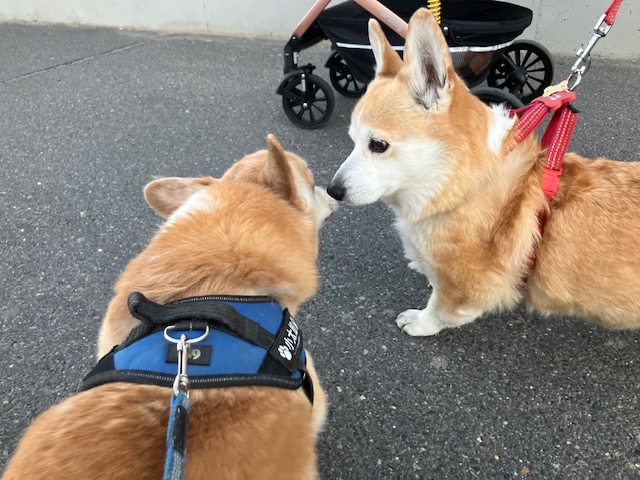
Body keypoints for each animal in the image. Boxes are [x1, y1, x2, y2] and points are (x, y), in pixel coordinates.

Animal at [327, 8, 640, 336]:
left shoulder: (470, 288)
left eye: (377, 144)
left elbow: (440, 309)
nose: (332, 190)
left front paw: (419, 320)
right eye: (352, 139)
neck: (461, 183)